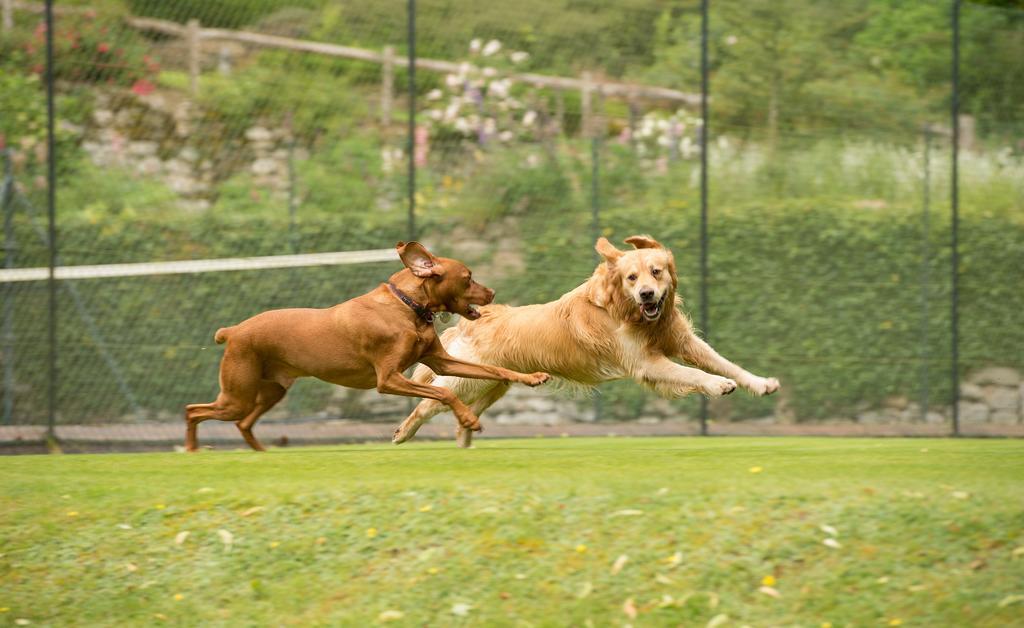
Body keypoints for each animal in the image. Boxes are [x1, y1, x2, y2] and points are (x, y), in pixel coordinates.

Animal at [184, 239, 552, 450]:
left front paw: (532, 377)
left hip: (271, 390)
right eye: (468, 277)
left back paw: (261, 454)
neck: (408, 306)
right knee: (193, 410)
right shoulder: (388, 379)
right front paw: (468, 420)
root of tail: (233, 330)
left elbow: (493, 369)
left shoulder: (441, 361)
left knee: (242, 423)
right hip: (237, 395)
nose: (493, 293)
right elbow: (444, 393)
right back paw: (192, 451)